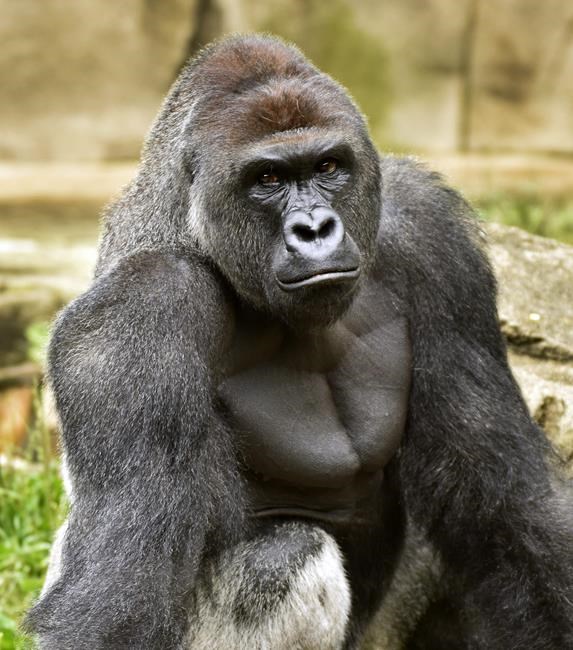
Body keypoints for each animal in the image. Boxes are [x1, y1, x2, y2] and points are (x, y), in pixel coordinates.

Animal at [27, 35, 573, 649]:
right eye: (267, 179)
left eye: (328, 166)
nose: (314, 229)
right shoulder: (140, 310)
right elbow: (121, 596)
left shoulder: (431, 233)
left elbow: (507, 505)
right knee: (285, 556)